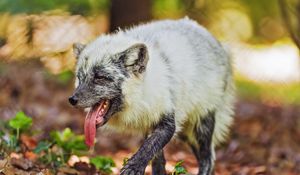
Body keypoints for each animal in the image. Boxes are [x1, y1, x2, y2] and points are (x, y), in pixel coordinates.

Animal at [69, 17, 236, 175]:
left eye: (100, 77)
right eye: (80, 78)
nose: (72, 100)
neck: (143, 92)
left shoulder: (168, 121)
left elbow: (147, 148)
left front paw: (133, 167)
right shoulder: (149, 123)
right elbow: (157, 160)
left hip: (200, 125)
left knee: (208, 158)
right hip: (186, 132)